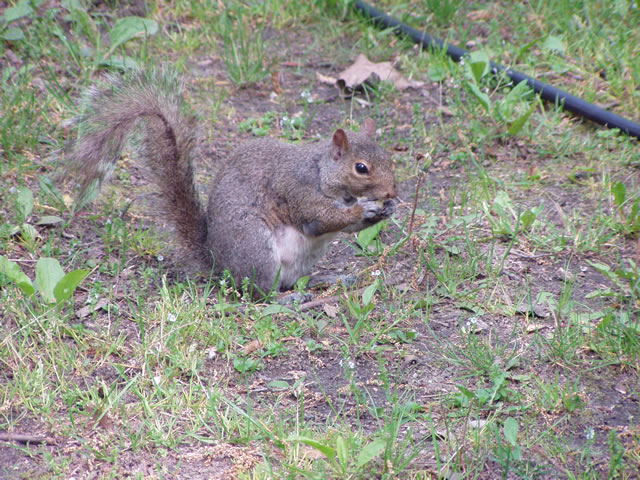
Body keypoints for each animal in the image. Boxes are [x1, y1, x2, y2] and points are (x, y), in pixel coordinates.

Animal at [65, 67, 397, 295]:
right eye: (361, 168)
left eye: (388, 156)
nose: (392, 191)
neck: (322, 172)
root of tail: (219, 262)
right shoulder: (298, 190)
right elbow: (322, 220)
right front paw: (365, 209)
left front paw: (385, 210)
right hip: (257, 250)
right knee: (261, 293)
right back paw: (287, 299)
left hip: (302, 259)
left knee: (294, 281)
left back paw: (325, 278)